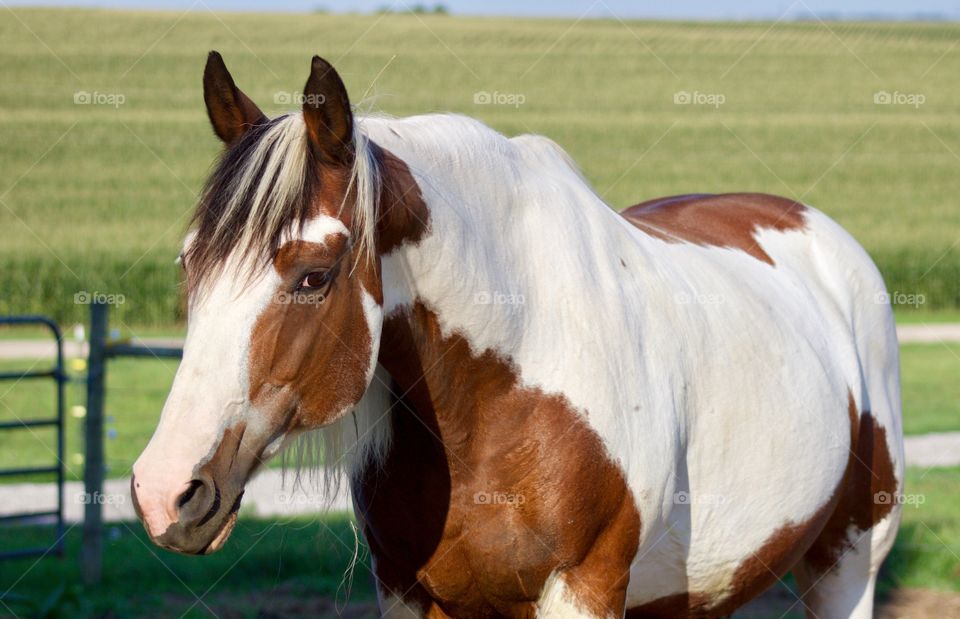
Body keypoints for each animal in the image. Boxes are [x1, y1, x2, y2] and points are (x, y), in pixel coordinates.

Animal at [131, 54, 904, 619]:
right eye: (189, 264)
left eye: (313, 276)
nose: (164, 491)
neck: (504, 387)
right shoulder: (408, 591)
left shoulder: (585, 585)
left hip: (848, 561)